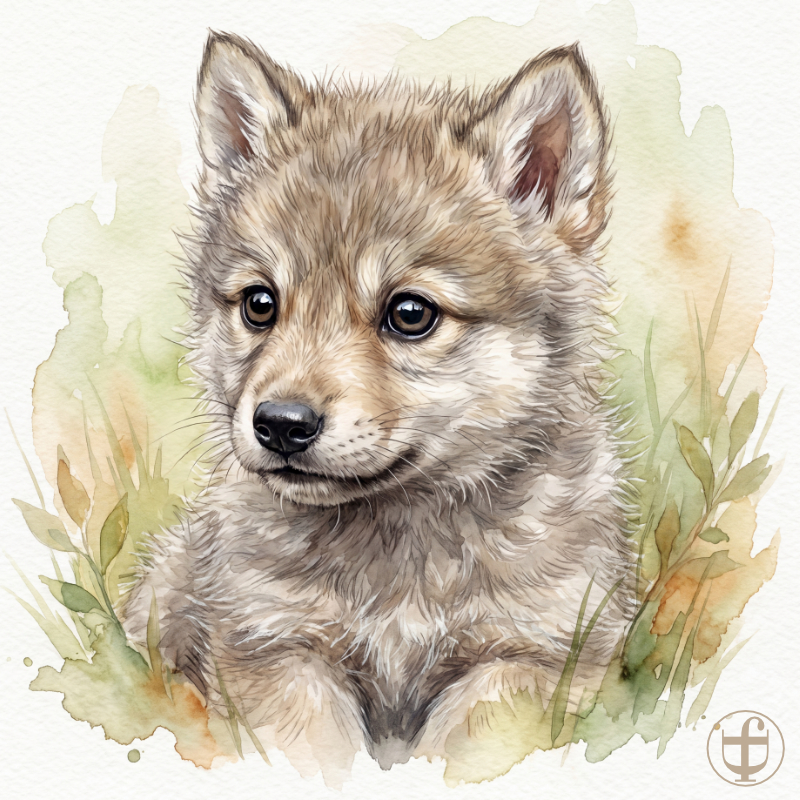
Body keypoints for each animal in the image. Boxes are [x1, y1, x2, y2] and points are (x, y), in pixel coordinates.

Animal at [123, 32, 634, 777]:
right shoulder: (275, 645)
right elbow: (315, 755)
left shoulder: (530, 655)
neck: (400, 554)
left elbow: (467, 755)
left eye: (410, 314)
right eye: (260, 304)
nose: (280, 425)